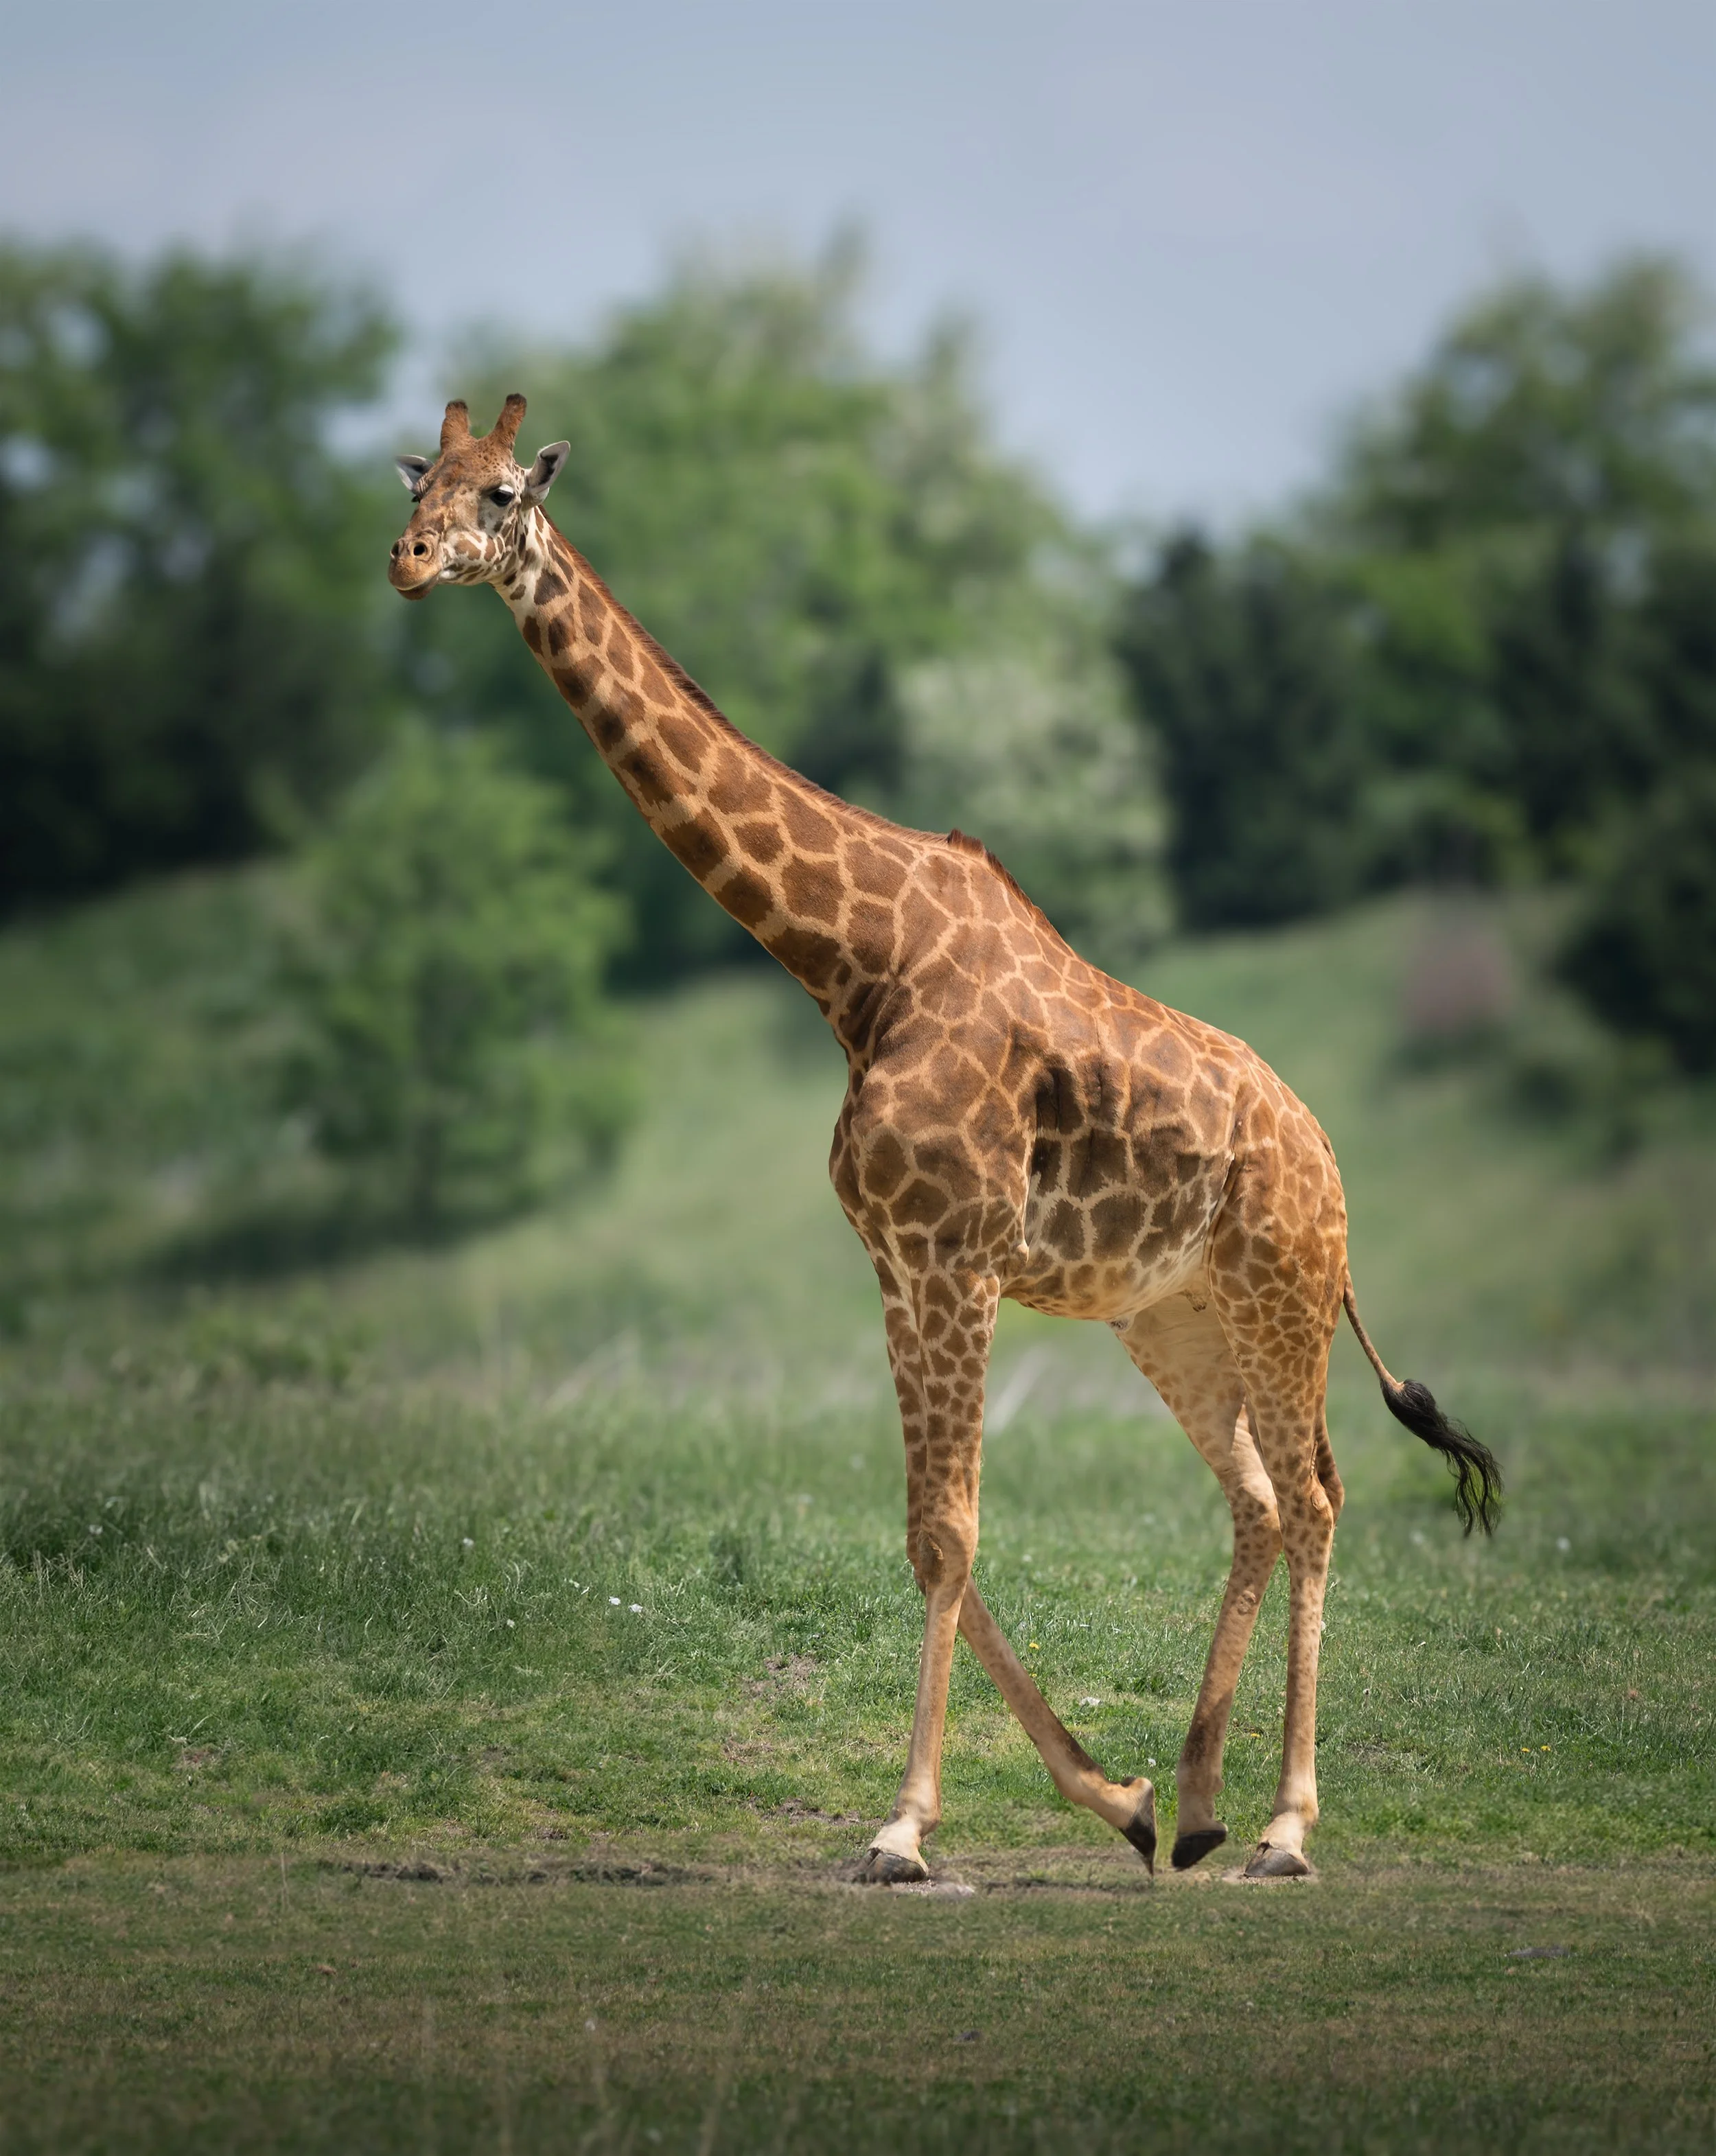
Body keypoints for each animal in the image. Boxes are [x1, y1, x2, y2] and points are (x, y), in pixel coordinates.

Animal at [389, 396, 1502, 1883]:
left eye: (502, 492)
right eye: (417, 482)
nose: (407, 560)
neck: (853, 966)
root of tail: (1326, 1163)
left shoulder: (954, 1257)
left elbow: (949, 1530)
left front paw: (906, 1829)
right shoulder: (900, 1261)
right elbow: (930, 1532)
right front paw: (1117, 1795)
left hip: (1280, 1297)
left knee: (1318, 1495)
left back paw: (1283, 1825)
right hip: (1170, 1316)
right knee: (1264, 1497)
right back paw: (1202, 1804)